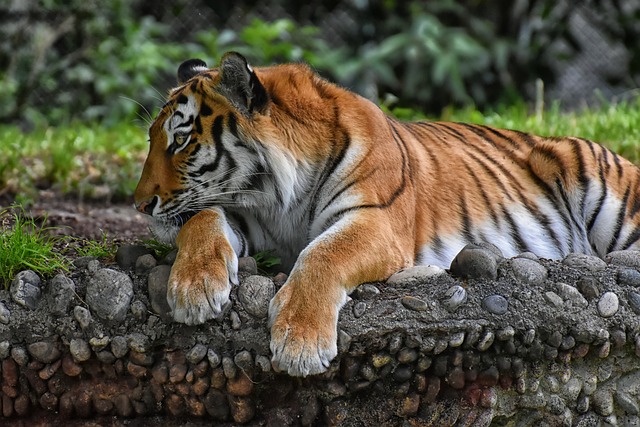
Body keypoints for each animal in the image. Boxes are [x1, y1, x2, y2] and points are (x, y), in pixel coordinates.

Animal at [134, 51, 640, 378]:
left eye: (181, 141)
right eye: (151, 139)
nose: (139, 205)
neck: (277, 197)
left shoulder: (375, 221)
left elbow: (322, 255)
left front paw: (300, 343)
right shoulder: (243, 215)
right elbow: (202, 219)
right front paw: (195, 289)